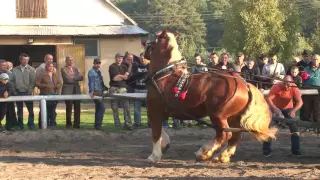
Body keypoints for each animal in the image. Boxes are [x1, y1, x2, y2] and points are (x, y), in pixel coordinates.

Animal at [143, 29, 278, 163]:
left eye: (152, 41)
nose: (144, 52)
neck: (164, 76)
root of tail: (244, 84)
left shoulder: (154, 111)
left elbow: (156, 132)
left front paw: (153, 156)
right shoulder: (161, 113)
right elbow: (161, 131)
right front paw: (165, 145)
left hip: (218, 115)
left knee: (224, 134)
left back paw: (204, 153)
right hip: (233, 117)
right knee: (235, 135)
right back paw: (222, 156)